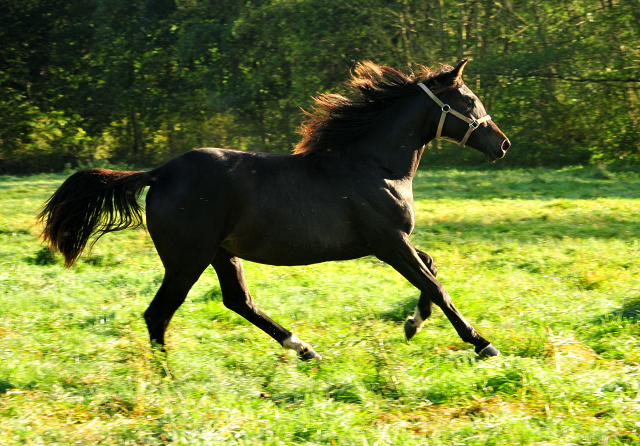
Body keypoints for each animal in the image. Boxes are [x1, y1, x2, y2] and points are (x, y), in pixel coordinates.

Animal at [38, 60, 510, 358]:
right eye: (469, 100)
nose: (502, 144)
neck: (374, 166)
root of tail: (160, 173)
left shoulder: (390, 243)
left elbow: (431, 270)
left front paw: (413, 323)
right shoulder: (388, 242)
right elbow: (437, 285)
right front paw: (482, 343)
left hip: (221, 254)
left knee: (238, 301)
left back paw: (303, 349)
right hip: (187, 258)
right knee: (160, 313)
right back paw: (166, 378)